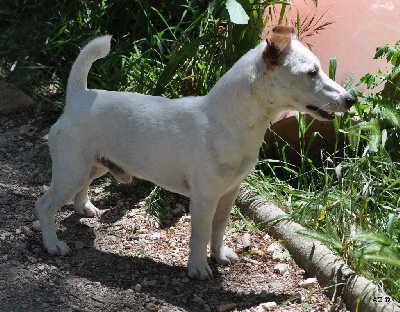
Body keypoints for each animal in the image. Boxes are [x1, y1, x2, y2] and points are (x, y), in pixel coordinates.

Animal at [34, 26, 354, 280]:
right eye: (311, 73)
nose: (351, 99)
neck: (228, 121)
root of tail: (79, 97)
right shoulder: (204, 198)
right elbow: (200, 234)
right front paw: (198, 268)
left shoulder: (229, 193)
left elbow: (219, 228)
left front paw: (219, 255)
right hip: (71, 171)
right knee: (45, 205)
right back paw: (52, 244)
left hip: (91, 166)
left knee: (81, 188)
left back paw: (84, 207)